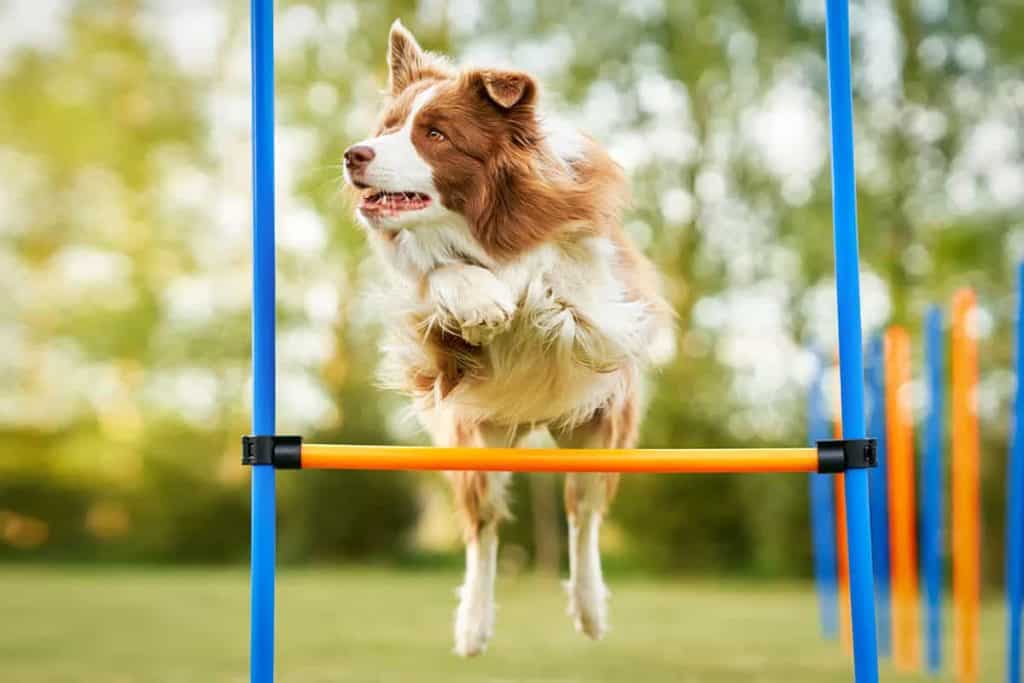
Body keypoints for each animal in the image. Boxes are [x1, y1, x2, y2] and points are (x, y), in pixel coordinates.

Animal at [344, 18, 675, 655]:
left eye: (435, 135)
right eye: (388, 129)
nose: (353, 155)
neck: (484, 224)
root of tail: (533, 423)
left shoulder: (604, 299)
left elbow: (550, 275)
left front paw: (516, 289)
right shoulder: (437, 352)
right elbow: (443, 276)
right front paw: (481, 299)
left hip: (600, 429)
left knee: (582, 517)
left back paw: (590, 608)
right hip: (475, 439)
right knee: (485, 530)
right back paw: (473, 625)